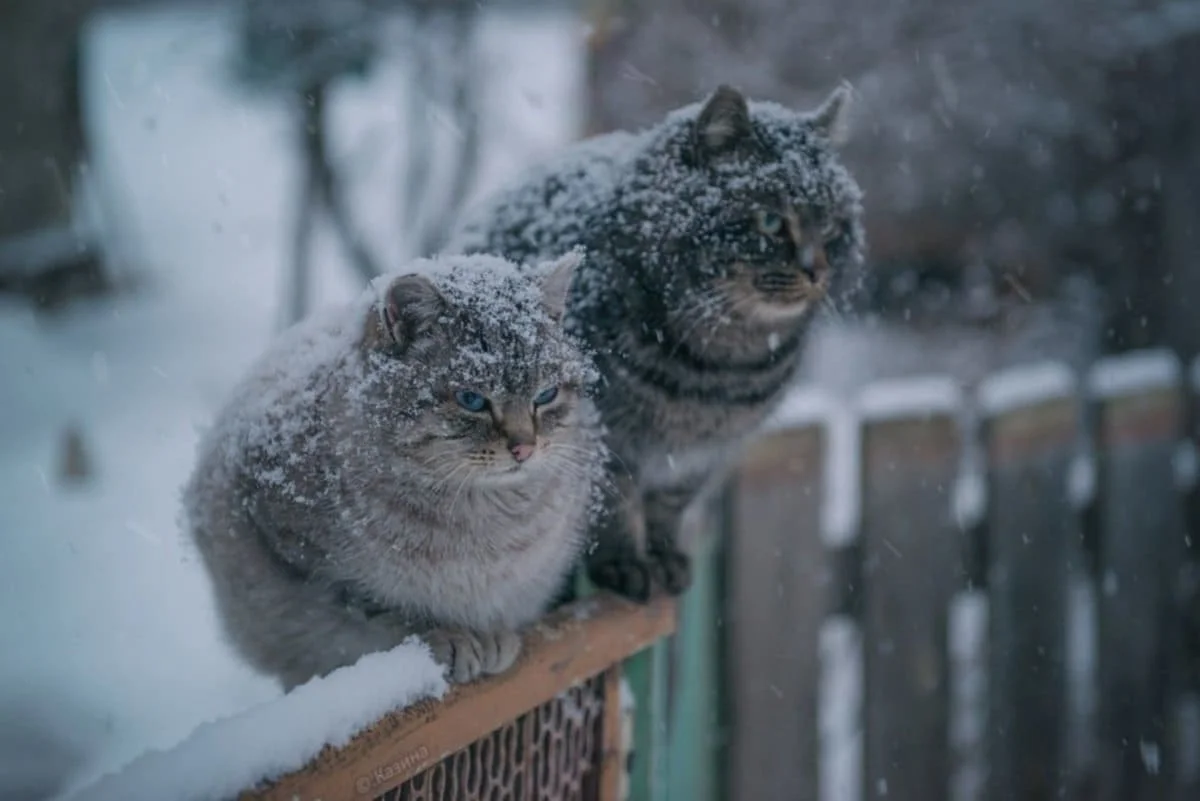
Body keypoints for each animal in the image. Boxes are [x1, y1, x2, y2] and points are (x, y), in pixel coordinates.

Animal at [184, 251, 609, 690]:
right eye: (472, 400)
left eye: (546, 395)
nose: (524, 448)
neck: (482, 517)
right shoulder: (307, 559)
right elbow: (384, 610)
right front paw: (452, 636)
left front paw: (490, 636)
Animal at [451, 86, 864, 599]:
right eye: (770, 221)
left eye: (831, 226)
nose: (817, 270)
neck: (721, 368)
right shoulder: (607, 438)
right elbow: (615, 505)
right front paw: (626, 564)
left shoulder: (702, 455)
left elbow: (669, 506)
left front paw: (665, 558)